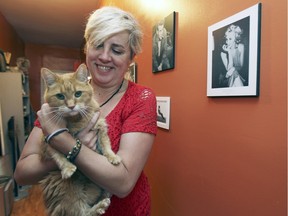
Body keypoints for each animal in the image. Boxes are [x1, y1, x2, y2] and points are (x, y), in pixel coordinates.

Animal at [39, 63, 120, 215]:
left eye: (78, 94)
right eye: (60, 96)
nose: (71, 106)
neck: (75, 120)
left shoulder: (100, 126)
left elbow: (106, 145)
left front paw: (113, 157)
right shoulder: (48, 141)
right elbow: (58, 155)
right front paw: (67, 168)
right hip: (69, 193)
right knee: (81, 212)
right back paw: (100, 206)